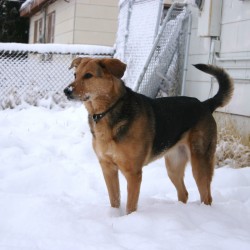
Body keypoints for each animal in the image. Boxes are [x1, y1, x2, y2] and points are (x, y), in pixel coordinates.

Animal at [63, 57, 233, 214]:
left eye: (88, 75)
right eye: (75, 75)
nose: (66, 91)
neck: (108, 111)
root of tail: (205, 104)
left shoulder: (133, 173)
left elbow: (130, 206)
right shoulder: (108, 168)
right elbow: (115, 200)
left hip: (200, 163)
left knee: (206, 196)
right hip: (173, 165)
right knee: (183, 193)